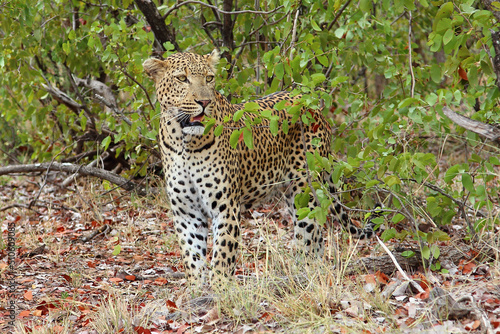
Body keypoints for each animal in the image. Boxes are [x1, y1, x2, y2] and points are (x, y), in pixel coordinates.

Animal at [144, 50, 376, 284]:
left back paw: (305, 275)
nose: (204, 101)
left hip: (304, 191)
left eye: (209, 78)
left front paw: (219, 290)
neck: (184, 144)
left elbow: (222, 258)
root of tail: (313, 106)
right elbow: (193, 259)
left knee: (309, 237)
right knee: (316, 238)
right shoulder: (187, 214)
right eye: (182, 78)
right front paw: (198, 289)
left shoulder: (226, 208)